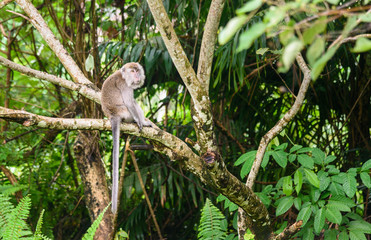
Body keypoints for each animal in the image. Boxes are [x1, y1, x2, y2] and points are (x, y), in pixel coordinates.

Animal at [101, 62, 152, 214]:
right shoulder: (125, 86)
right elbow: (130, 103)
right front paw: (141, 121)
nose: (137, 76)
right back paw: (143, 121)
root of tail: (113, 115)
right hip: (125, 113)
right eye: (132, 71)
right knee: (133, 104)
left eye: (137, 71)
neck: (123, 76)